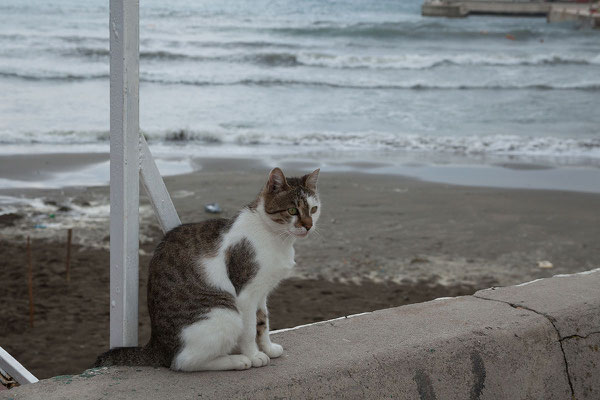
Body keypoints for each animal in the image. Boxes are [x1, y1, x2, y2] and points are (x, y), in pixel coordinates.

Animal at [95, 166, 318, 372]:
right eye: (292, 211)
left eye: (314, 209)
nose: (308, 226)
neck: (275, 236)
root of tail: (157, 347)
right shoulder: (246, 294)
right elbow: (249, 330)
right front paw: (254, 355)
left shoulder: (261, 293)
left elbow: (262, 323)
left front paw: (268, 348)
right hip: (226, 313)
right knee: (183, 362)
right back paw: (237, 360)